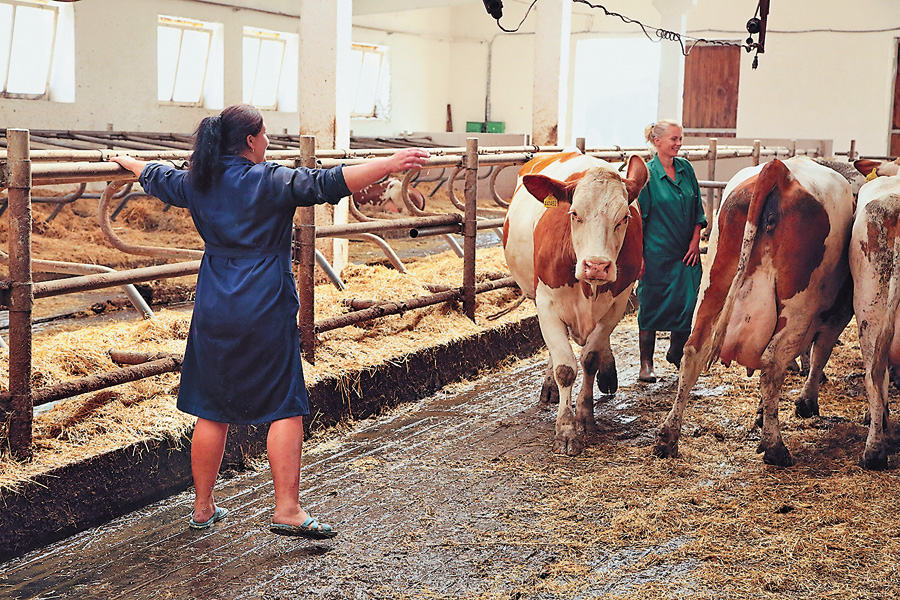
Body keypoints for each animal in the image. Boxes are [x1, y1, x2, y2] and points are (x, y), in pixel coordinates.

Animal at [506, 150, 648, 454]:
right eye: (574, 214)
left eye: (624, 217)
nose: (596, 266)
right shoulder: (546, 303)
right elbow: (565, 368)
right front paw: (566, 429)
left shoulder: (618, 304)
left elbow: (589, 359)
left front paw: (584, 416)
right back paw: (550, 386)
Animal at [652, 157, 856, 466]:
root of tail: (779, 170)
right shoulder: (838, 314)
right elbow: (820, 353)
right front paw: (806, 402)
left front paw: (762, 413)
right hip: (797, 307)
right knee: (772, 364)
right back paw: (775, 447)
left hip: (713, 285)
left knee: (693, 351)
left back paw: (667, 438)